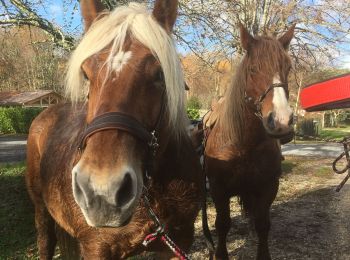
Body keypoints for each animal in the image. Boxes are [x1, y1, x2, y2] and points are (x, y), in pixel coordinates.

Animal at [26, 1, 202, 258]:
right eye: (86, 74)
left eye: (159, 74)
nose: (102, 192)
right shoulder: (97, 248)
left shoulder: (180, 241)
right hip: (41, 210)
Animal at [204, 23, 296, 258]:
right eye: (253, 69)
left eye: (288, 68)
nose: (282, 121)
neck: (243, 144)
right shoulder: (218, 190)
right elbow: (222, 225)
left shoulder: (268, 187)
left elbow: (262, 224)